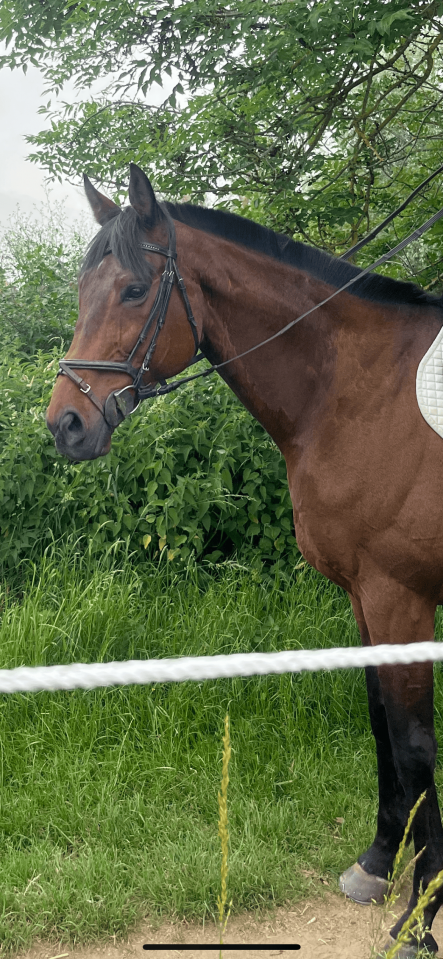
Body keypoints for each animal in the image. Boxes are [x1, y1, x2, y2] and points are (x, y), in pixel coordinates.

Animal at [46, 163, 443, 957]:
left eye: (134, 289)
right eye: (82, 291)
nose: (64, 424)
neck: (360, 390)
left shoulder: (402, 597)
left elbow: (415, 746)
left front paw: (420, 916)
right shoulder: (363, 596)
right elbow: (380, 721)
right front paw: (378, 863)